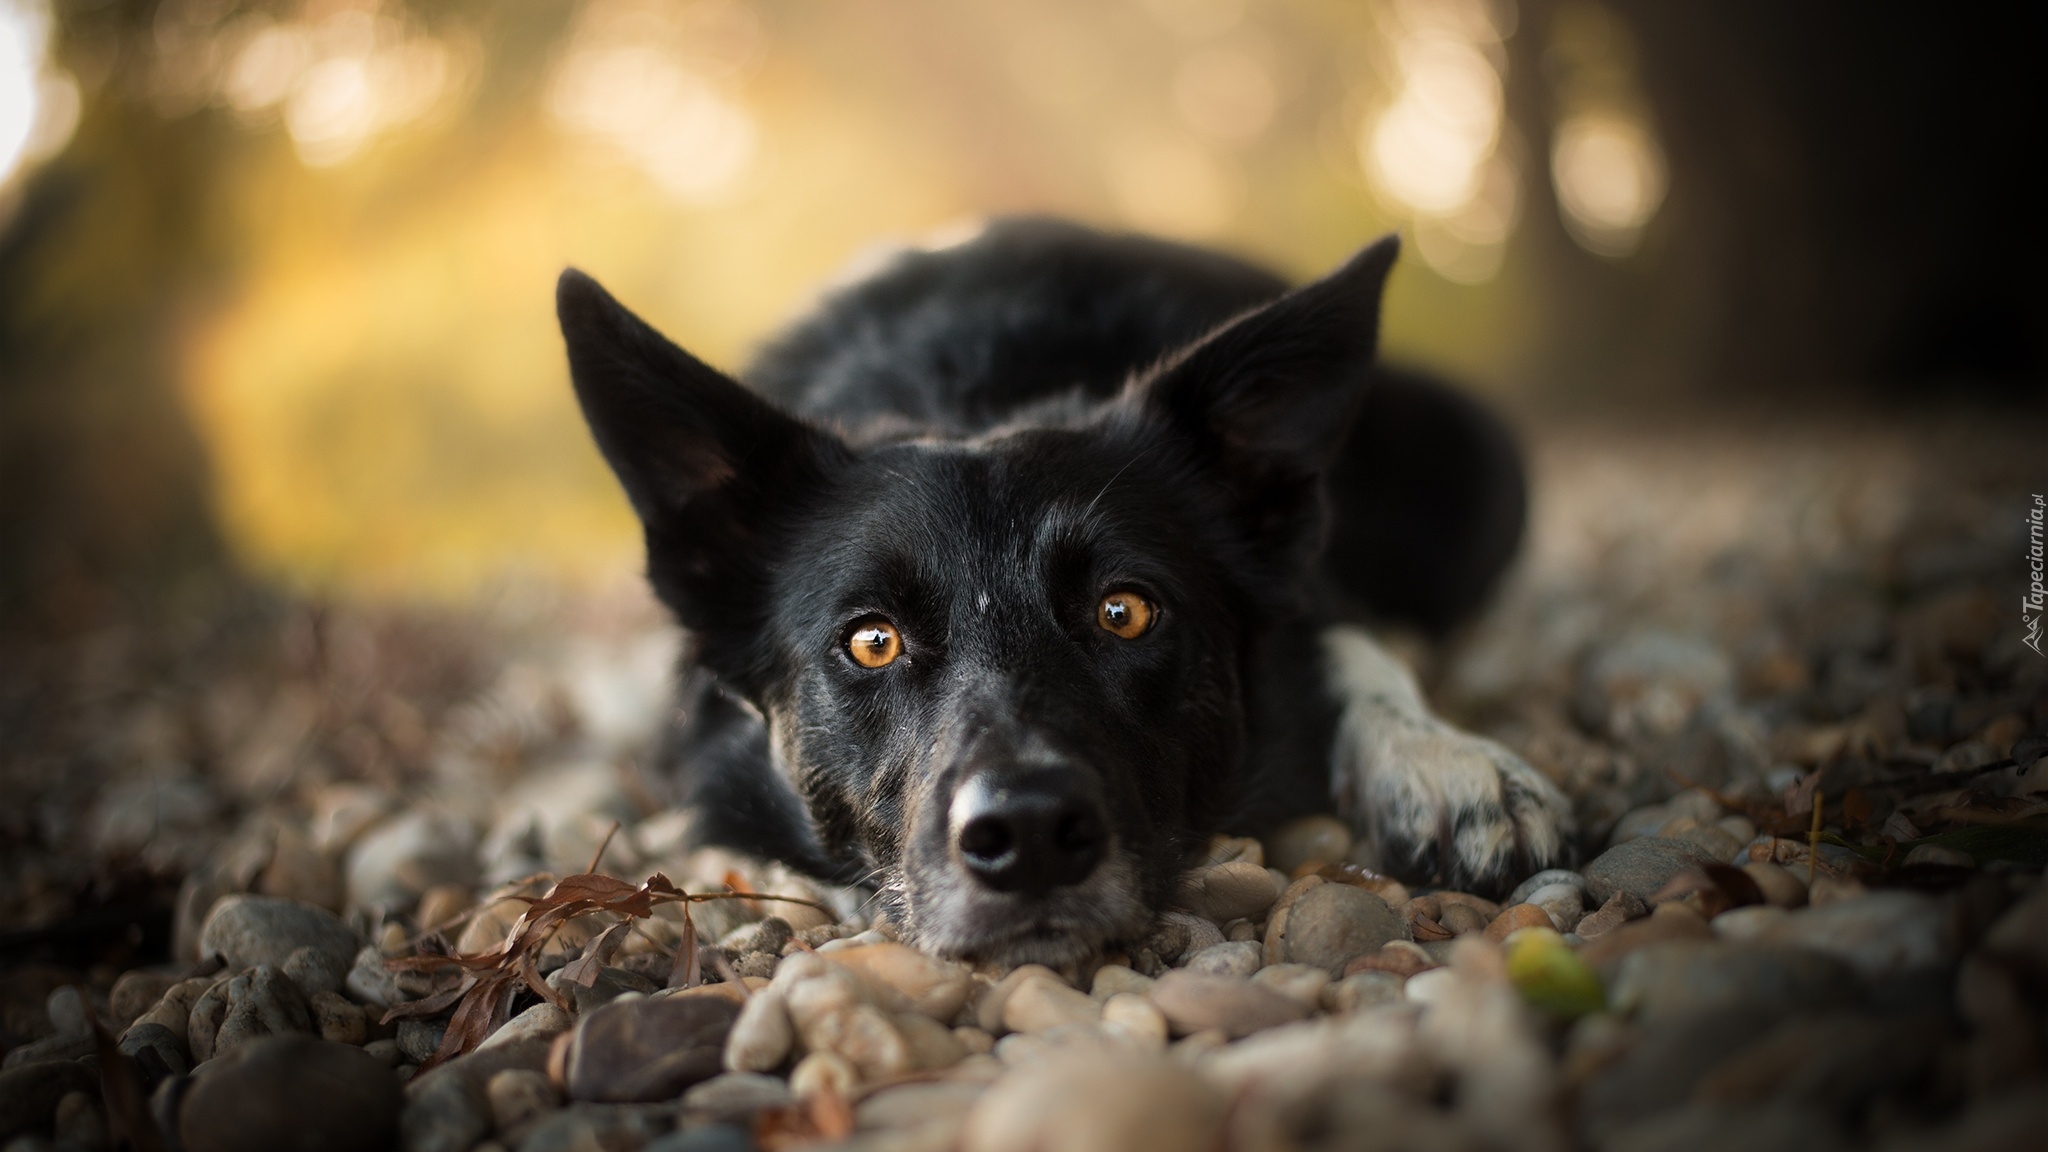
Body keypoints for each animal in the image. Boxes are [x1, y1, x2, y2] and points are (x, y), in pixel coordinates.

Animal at [552, 219, 1572, 963]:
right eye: (872, 640)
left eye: (1124, 612)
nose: (1030, 834)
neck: (975, 394)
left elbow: (1346, 638)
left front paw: (1447, 763)